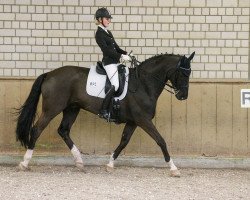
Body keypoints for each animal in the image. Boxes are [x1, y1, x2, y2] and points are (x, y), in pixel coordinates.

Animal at [16, 51, 195, 177]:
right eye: (183, 73)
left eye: (190, 73)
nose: (183, 96)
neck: (144, 84)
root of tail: (49, 74)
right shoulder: (143, 120)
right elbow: (161, 141)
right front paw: (174, 168)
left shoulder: (133, 121)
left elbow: (124, 141)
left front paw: (110, 165)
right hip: (52, 108)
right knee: (37, 130)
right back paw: (25, 163)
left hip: (72, 108)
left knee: (63, 131)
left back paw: (79, 162)